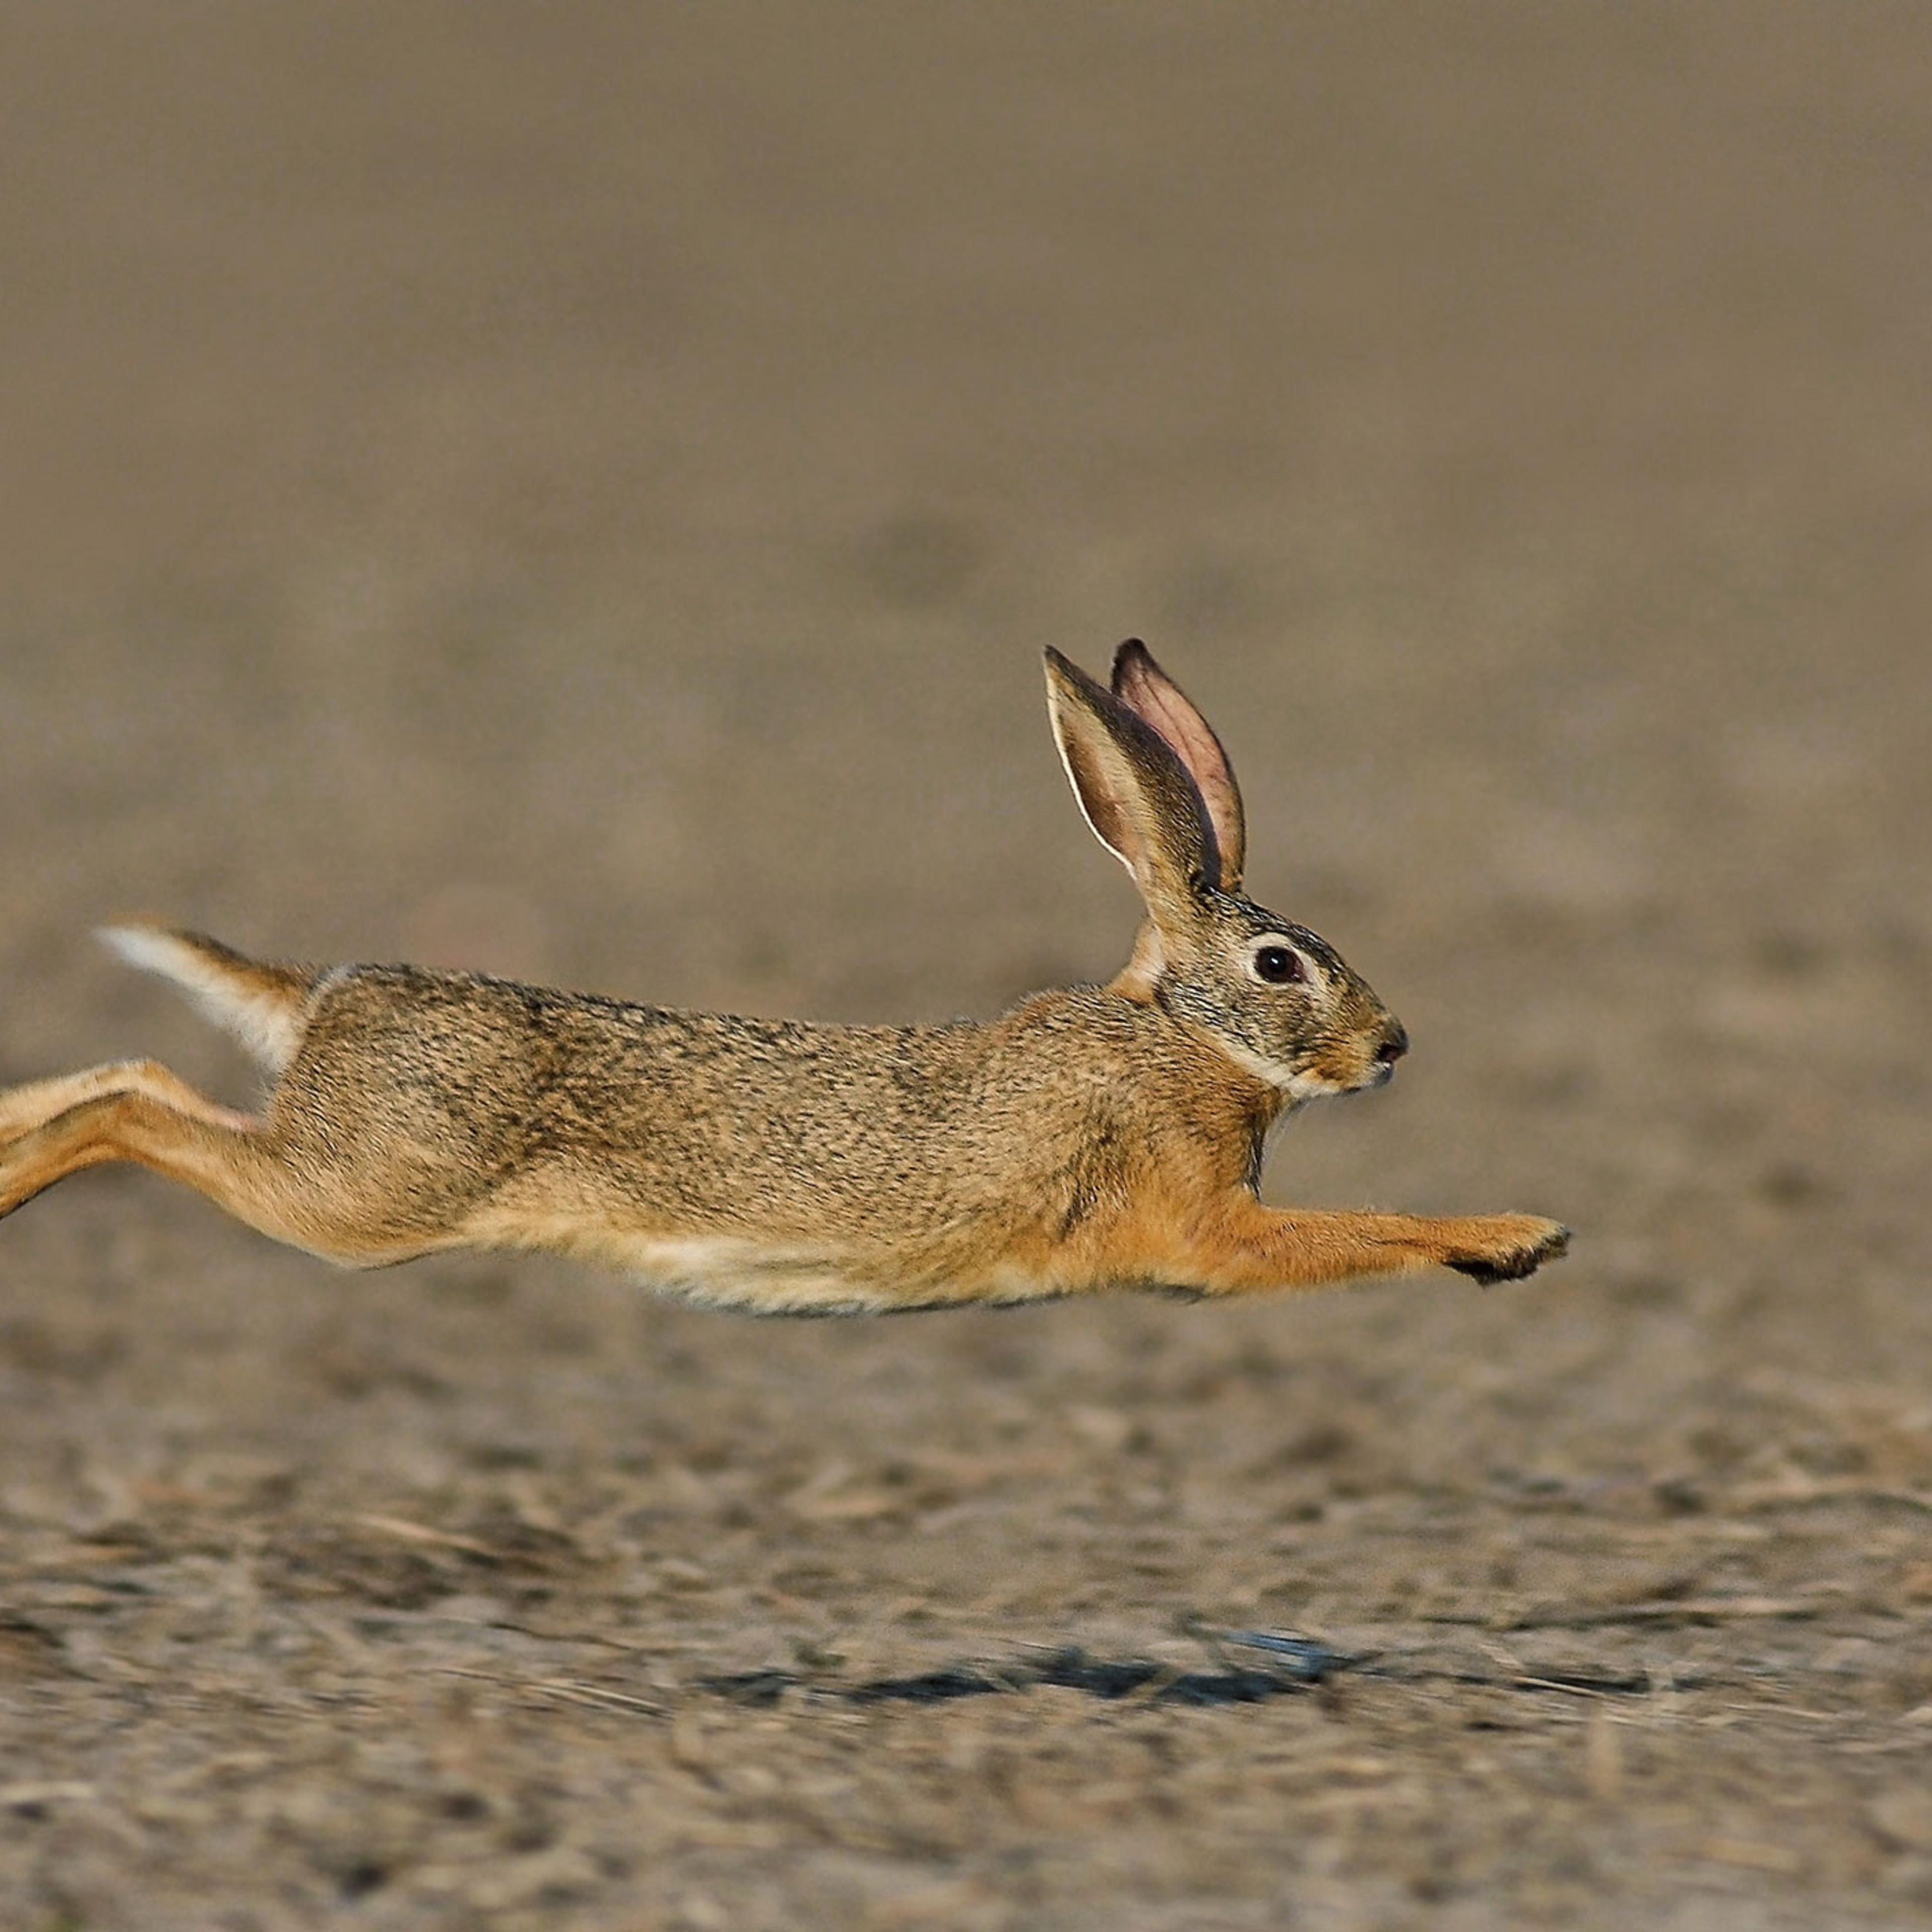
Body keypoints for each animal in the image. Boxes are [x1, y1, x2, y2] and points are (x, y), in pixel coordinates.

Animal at [0, 642, 1567, 1313]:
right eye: (1278, 962)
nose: (1394, 1045)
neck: (1175, 1038)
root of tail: (330, 993)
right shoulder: (1200, 1230)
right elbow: (1350, 1229)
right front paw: (1516, 1236)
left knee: (135, 1074)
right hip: (363, 1199)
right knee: (134, 1112)